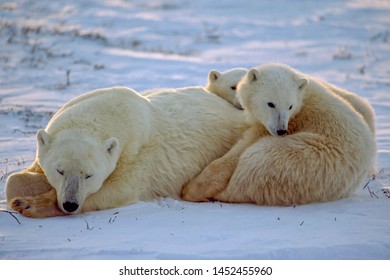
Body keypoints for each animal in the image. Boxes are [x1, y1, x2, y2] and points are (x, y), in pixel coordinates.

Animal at [6, 86, 247, 218]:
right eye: (60, 170)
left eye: (89, 175)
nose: (70, 203)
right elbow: (15, 179)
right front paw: (32, 186)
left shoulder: (136, 151)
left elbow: (118, 189)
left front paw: (30, 204)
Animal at [183, 63, 378, 206]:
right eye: (271, 103)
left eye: (290, 106)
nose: (281, 131)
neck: (304, 99)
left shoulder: (279, 125)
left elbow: (239, 150)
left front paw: (190, 189)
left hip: (290, 158)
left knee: (253, 164)